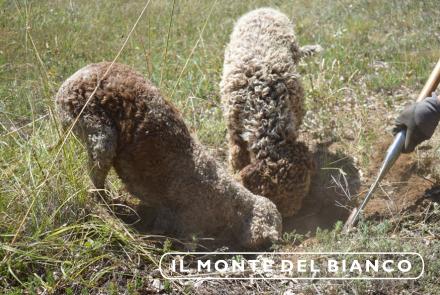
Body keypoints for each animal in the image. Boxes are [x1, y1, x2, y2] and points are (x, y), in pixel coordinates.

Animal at [55, 62, 282, 250]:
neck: (229, 201)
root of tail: (65, 86)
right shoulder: (187, 217)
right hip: (92, 123)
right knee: (98, 170)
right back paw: (104, 203)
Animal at [219, 8, 320, 217]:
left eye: (302, 194)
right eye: (274, 199)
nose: (289, 216)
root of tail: (264, 9)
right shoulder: (233, 126)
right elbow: (236, 154)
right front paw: (235, 174)